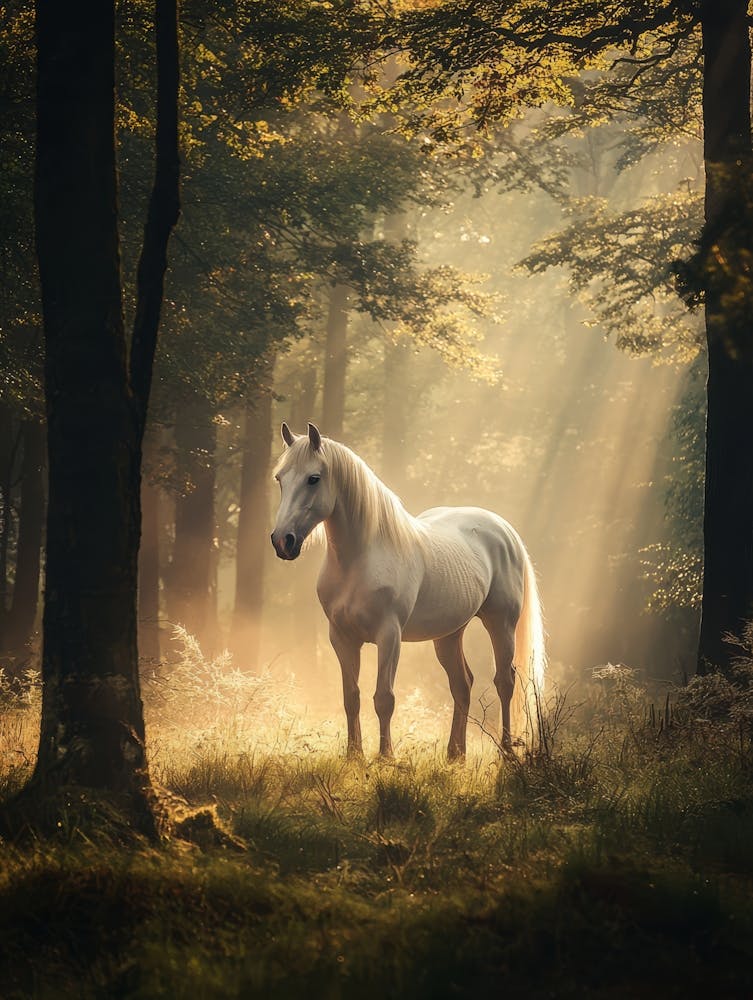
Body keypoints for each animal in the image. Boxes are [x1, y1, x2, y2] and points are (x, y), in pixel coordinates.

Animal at [270, 422, 546, 759]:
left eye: (313, 478)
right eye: (280, 478)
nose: (282, 541)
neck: (360, 559)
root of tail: (505, 530)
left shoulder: (389, 636)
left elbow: (383, 698)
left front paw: (385, 757)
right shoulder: (341, 638)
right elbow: (351, 697)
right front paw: (354, 756)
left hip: (501, 624)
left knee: (505, 682)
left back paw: (506, 754)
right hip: (449, 634)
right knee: (462, 684)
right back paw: (455, 755)